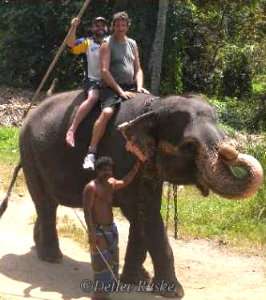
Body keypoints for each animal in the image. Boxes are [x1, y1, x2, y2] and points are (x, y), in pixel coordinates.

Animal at [17, 91, 262, 298]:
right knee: (45, 204)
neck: (155, 107)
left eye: (223, 136)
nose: (232, 153)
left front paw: (135, 279)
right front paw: (173, 291)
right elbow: (144, 213)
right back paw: (52, 258)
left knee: (46, 205)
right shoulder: (122, 156)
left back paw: (39, 249)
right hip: (29, 153)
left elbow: (143, 212)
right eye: (188, 146)